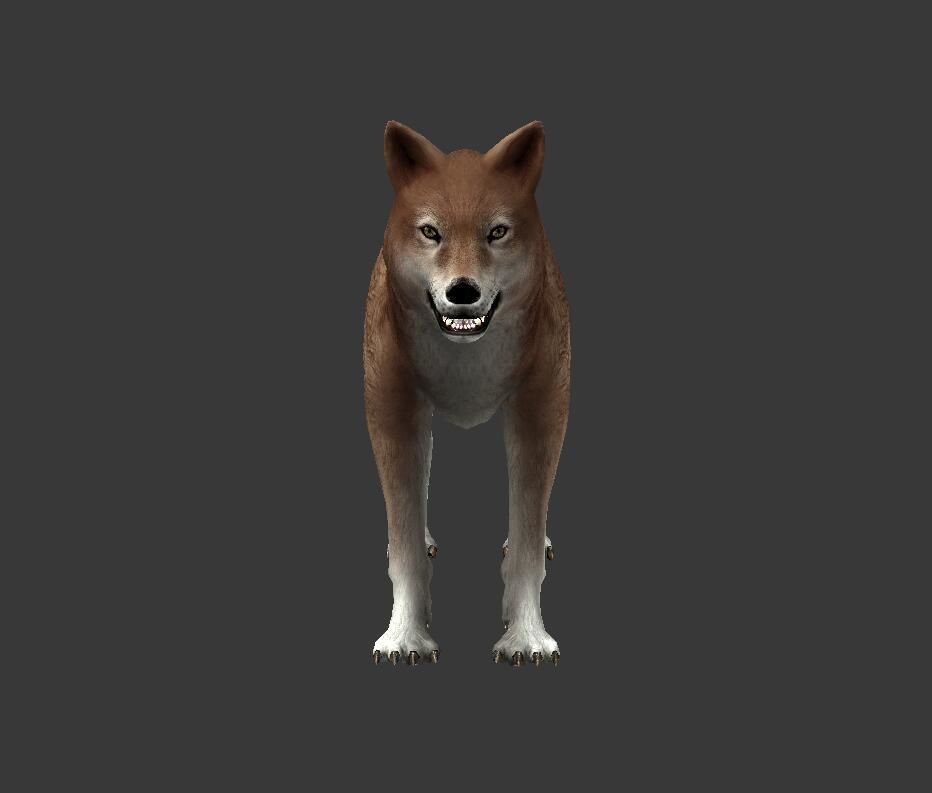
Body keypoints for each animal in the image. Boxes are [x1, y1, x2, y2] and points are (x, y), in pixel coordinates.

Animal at [364, 121, 570, 667]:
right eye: (430, 232)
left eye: (496, 232)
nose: (462, 291)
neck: (466, 360)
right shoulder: (393, 411)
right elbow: (406, 545)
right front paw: (404, 637)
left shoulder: (540, 411)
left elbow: (526, 545)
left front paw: (527, 637)